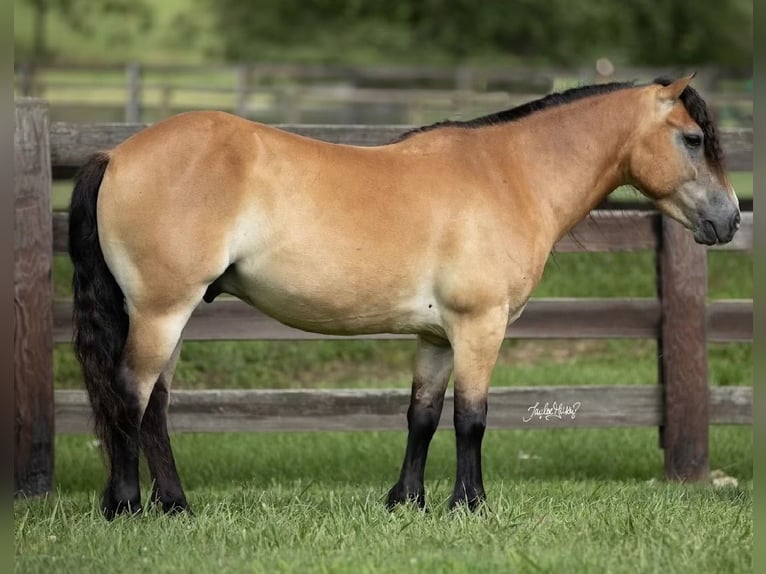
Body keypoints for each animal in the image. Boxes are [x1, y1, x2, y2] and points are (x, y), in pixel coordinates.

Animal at [68, 74, 740, 519]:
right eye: (691, 139)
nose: (730, 219)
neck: (510, 175)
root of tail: (116, 154)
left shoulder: (435, 337)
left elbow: (422, 415)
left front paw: (406, 501)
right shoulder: (479, 326)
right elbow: (471, 418)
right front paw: (469, 504)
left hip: (171, 317)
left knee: (154, 406)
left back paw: (175, 506)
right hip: (161, 311)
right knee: (130, 394)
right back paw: (126, 506)